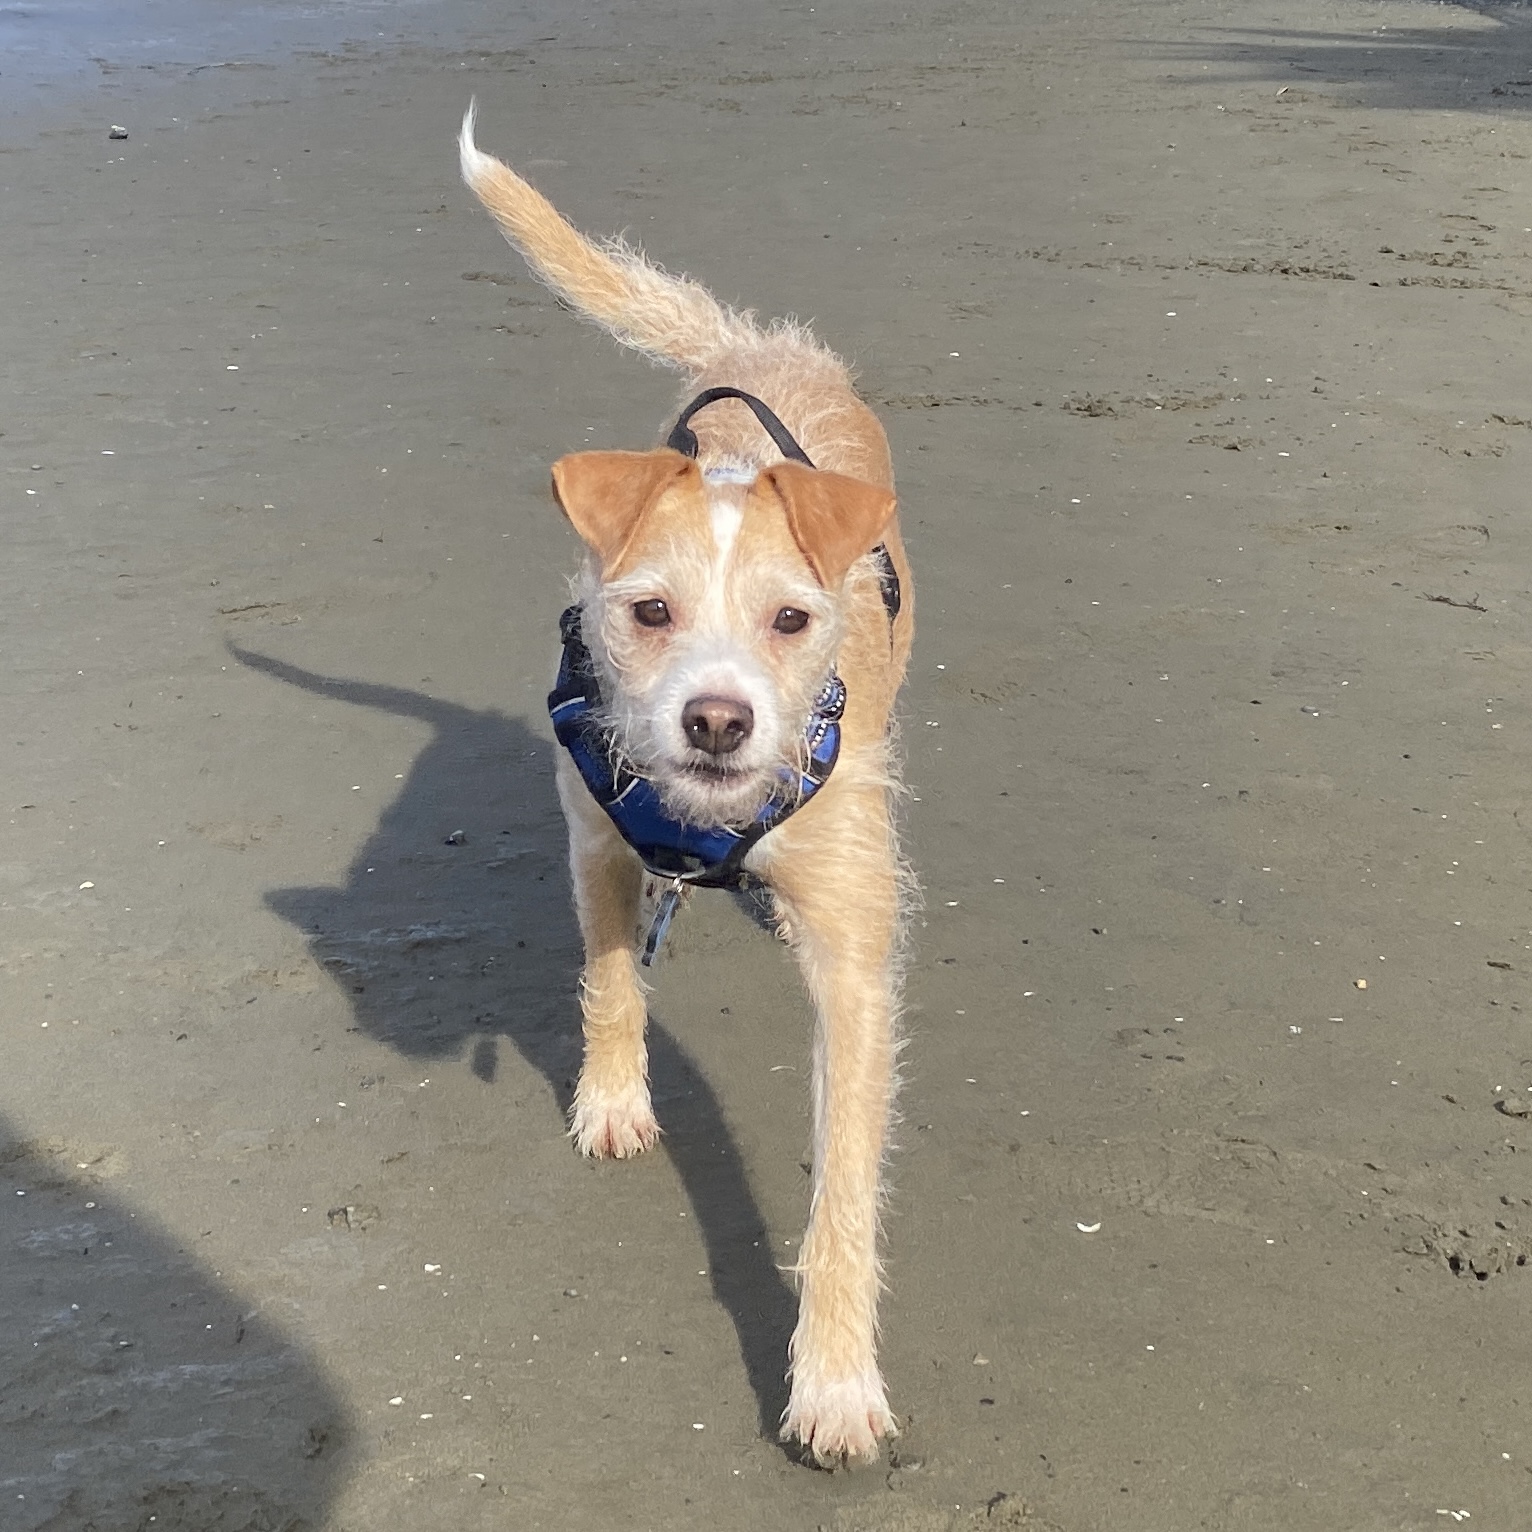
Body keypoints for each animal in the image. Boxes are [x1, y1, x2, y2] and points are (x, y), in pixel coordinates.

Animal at [459, 101, 913, 1464]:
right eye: (647, 612)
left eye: (791, 620)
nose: (715, 722)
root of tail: (760, 346)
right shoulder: (601, 843)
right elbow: (610, 982)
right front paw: (612, 1097)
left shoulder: (854, 956)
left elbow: (844, 1182)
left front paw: (832, 1378)